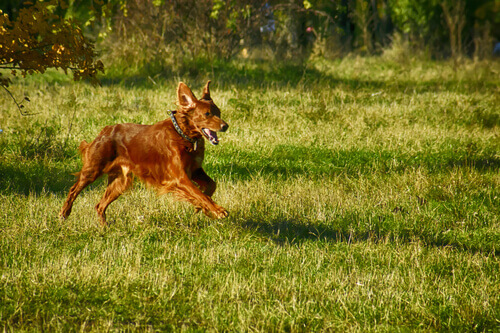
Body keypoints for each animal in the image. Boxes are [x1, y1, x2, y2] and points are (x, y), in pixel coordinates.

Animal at [59, 81, 229, 226]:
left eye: (219, 112)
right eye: (207, 114)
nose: (225, 126)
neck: (183, 135)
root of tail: (105, 131)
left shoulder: (195, 170)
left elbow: (211, 186)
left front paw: (201, 208)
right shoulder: (180, 177)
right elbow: (199, 193)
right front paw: (217, 210)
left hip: (120, 182)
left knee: (100, 205)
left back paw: (104, 227)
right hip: (93, 170)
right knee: (73, 190)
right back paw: (64, 214)